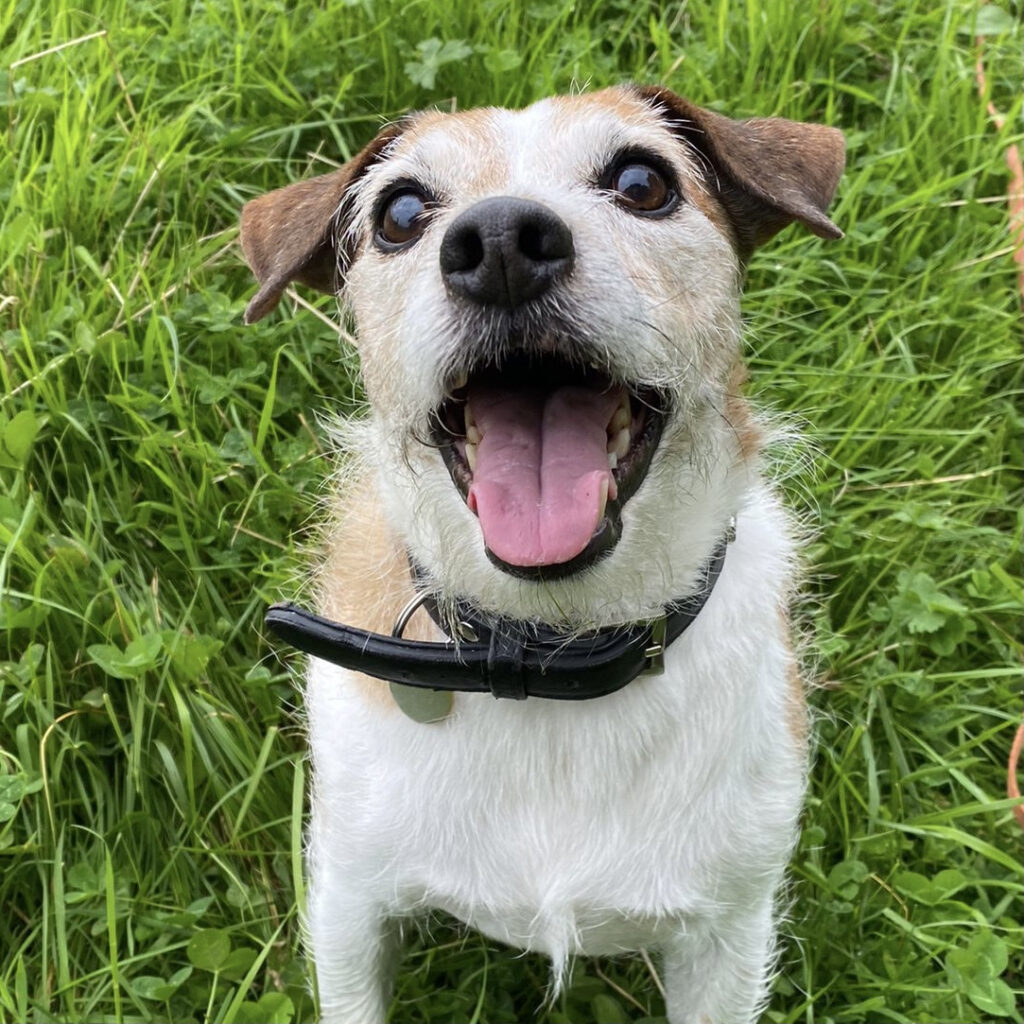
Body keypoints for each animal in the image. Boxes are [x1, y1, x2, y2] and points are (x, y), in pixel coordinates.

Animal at [237, 83, 839, 1019]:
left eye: (642, 181)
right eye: (400, 212)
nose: (499, 245)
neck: (551, 656)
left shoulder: (728, 938)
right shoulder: (348, 902)